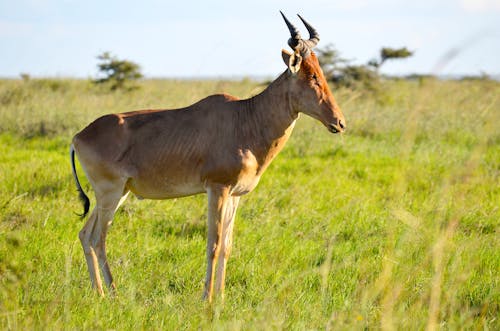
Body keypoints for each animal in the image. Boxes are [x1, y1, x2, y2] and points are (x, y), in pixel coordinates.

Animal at [69, 12, 344, 304]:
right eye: (311, 75)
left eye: (321, 72)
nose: (339, 122)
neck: (245, 118)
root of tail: (78, 136)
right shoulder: (217, 188)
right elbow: (212, 243)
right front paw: (206, 299)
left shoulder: (235, 195)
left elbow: (226, 246)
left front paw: (220, 297)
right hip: (110, 193)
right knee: (98, 239)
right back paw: (113, 294)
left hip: (119, 193)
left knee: (85, 235)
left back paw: (99, 292)